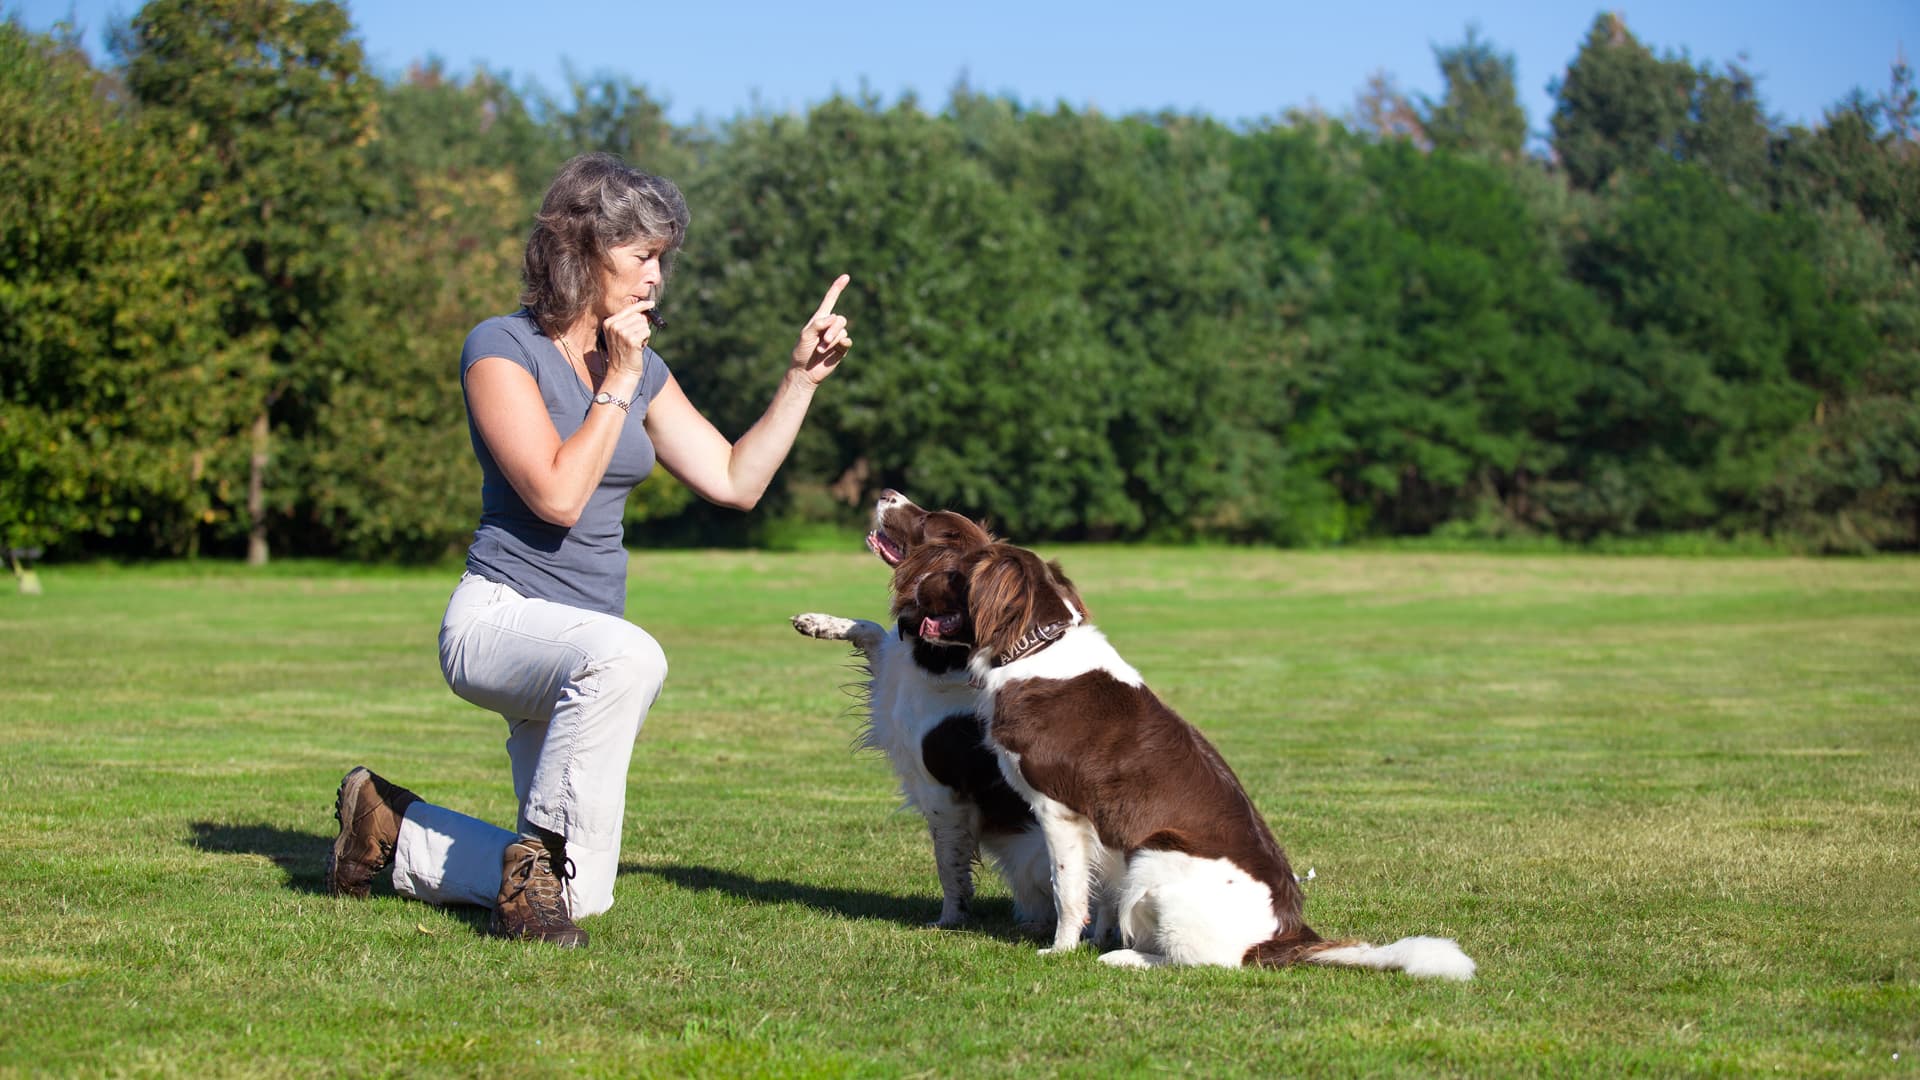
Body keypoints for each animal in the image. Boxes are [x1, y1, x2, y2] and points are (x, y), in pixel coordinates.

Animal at [794, 491, 1067, 930]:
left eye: (926, 521)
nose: (887, 492)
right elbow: (871, 629)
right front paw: (818, 622)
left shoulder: (943, 791)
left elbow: (948, 862)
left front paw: (950, 919)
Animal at [906, 522, 1474, 976]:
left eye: (954, 574)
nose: (912, 590)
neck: (1037, 647)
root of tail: (1284, 936)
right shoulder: (1104, 827)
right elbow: (1101, 891)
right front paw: (1094, 937)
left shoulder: (1059, 810)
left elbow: (1068, 890)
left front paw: (1062, 949)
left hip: (1156, 857)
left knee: (1208, 961)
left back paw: (1125, 957)